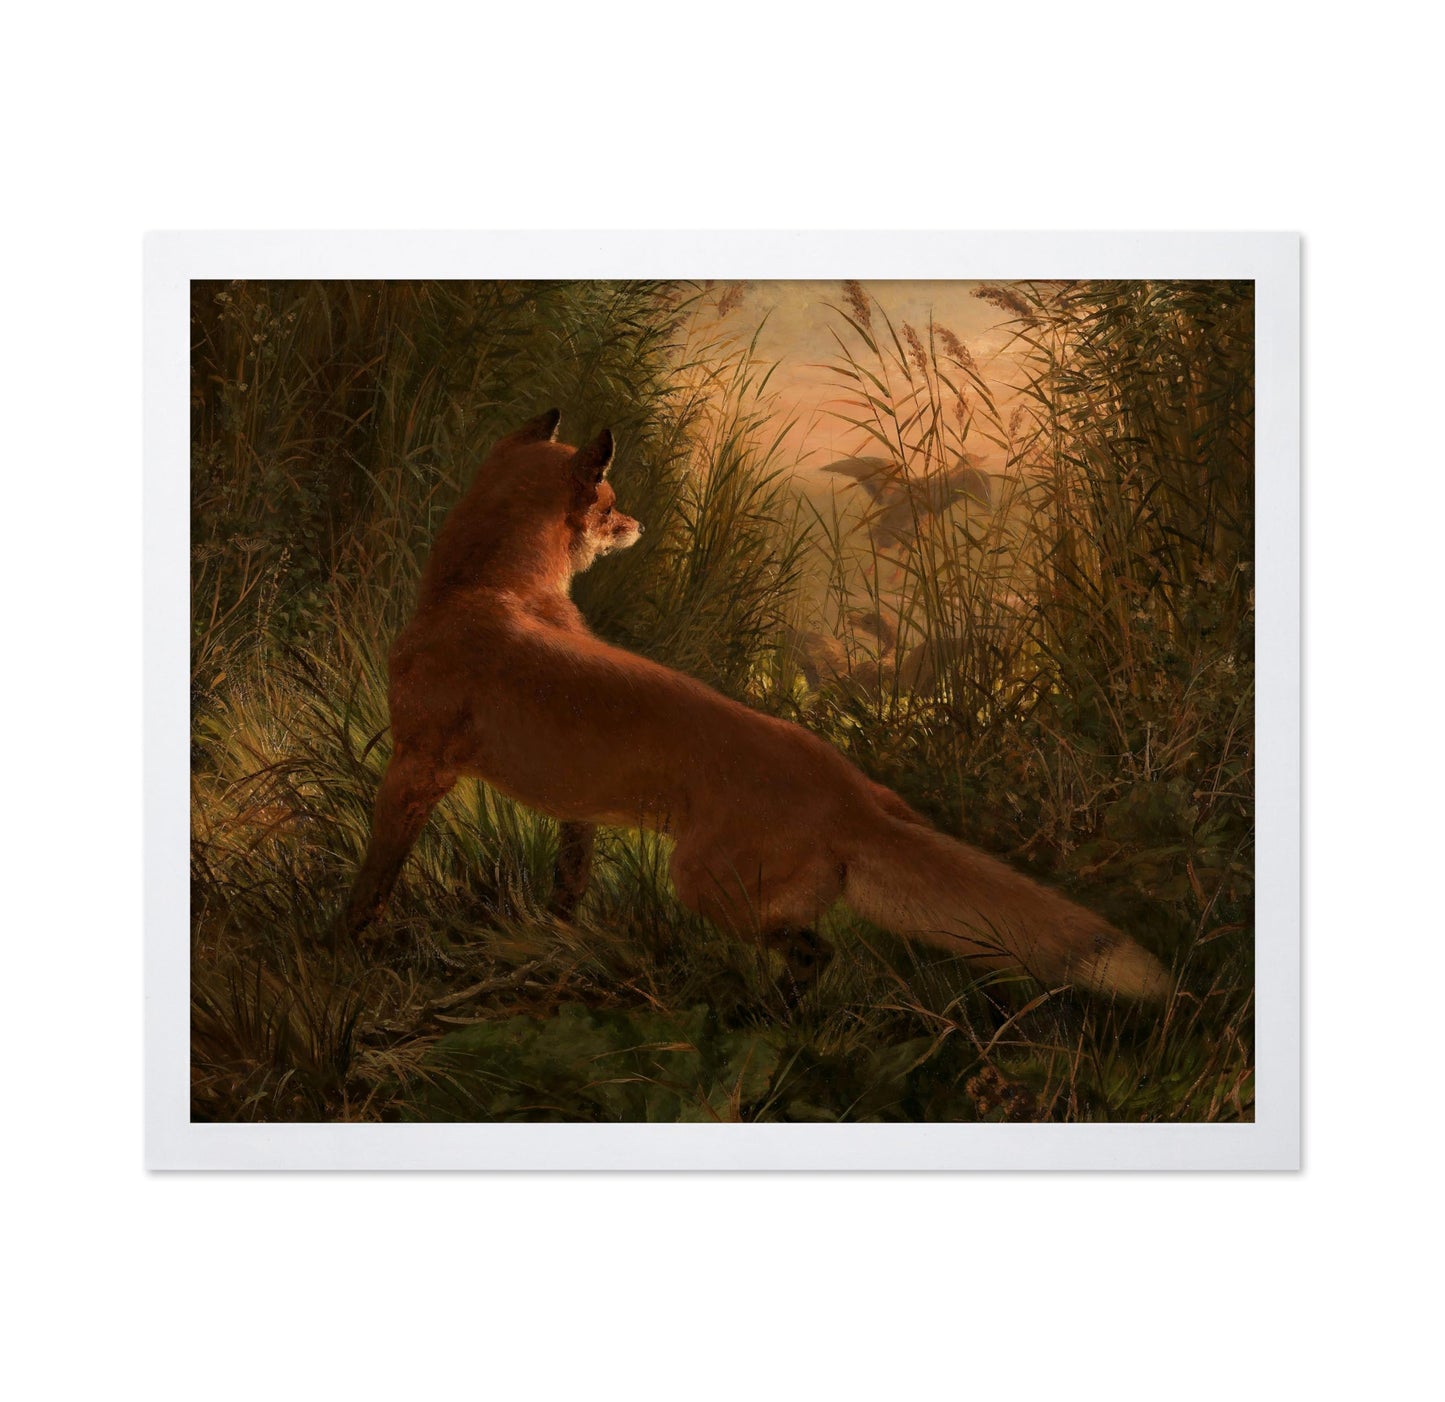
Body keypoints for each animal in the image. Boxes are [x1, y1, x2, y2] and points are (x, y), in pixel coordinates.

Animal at [342, 409, 1170, 1004]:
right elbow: (566, 891)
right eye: (609, 504)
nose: (640, 524)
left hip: (704, 885)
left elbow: (372, 881)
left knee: (815, 953)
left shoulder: (415, 766)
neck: (486, 592)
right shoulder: (576, 811)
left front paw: (344, 949)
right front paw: (553, 944)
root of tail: (849, 794)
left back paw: (767, 1013)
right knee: (817, 952)